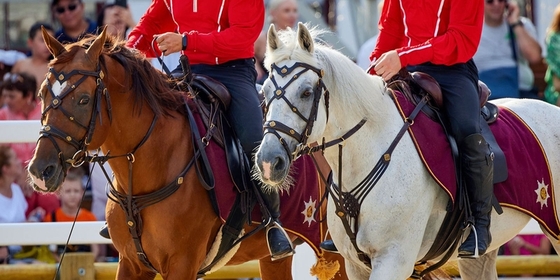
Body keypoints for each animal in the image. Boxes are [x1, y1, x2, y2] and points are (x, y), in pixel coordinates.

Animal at [27, 26, 346, 280]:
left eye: (83, 99)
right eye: (42, 93)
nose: (40, 171)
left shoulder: (182, 265)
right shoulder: (131, 264)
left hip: (337, 252)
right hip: (275, 259)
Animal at [255, 22, 560, 280]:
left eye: (307, 92)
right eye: (265, 91)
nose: (269, 162)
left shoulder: (393, 261)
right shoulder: (356, 266)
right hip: (479, 257)